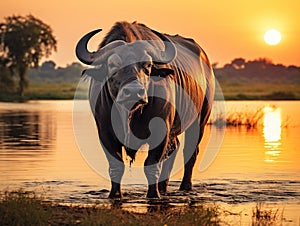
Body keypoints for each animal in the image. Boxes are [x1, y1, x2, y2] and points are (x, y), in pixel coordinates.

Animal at [76, 21, 214, 198]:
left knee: (190, 153)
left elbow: (152, 166)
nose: (134, 92)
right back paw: (163, 187)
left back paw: (185, 187)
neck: (131, 113)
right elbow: (116, 167)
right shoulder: (105, 132)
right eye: (113, 65)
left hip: (200, 121)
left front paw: (153, 195)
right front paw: (115, 194)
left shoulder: (161, 130)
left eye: (147, 65)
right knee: (173, 149)